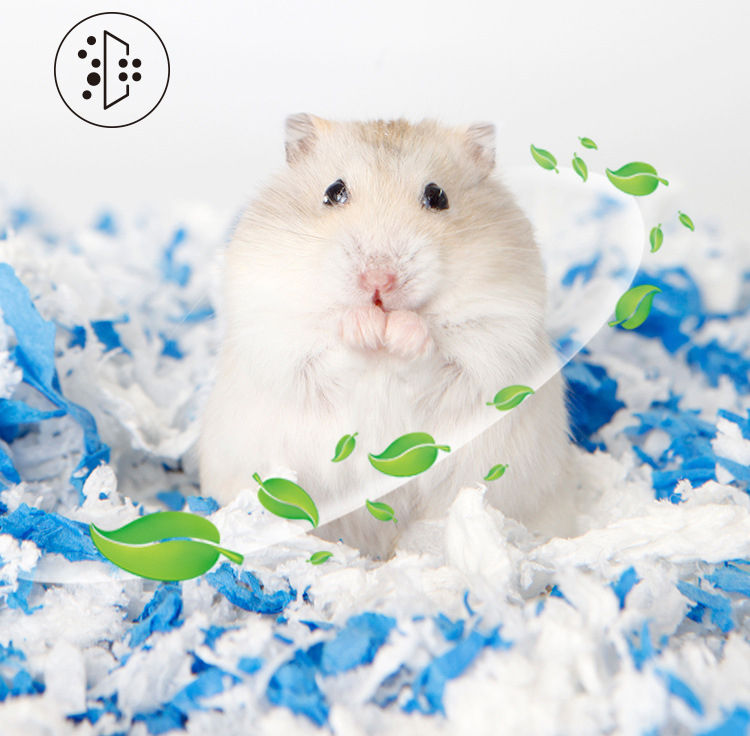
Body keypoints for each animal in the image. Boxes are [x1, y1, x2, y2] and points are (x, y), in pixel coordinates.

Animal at [199, 114, 572, 558]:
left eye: (438, 196)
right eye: (333, 191)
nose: (379, 280)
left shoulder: (495, 335)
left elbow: (435, 353)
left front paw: (401, 331)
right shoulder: (277, 330)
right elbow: (330, 348)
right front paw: (363, 325)